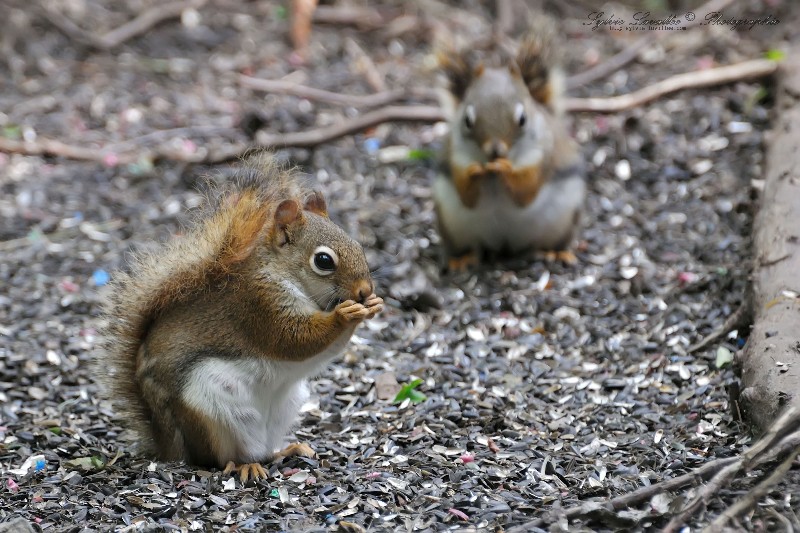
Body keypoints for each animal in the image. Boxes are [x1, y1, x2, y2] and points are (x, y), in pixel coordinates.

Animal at [97, 155, 384, 482]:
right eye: (323, 260)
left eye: (358, 246)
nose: (364, 290)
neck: (280, 272)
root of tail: (169, 444)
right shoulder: (259, 306)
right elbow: (295, 339)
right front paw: (343, 314)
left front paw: (373, 304)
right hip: (211, 410)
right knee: (218, 458)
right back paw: (242, 465)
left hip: (286, 404)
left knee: (264, 449)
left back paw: (286, 450)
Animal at [434, 20, 584, 270]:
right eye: (467, 120)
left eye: (522, 119)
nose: (495, 150)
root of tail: (505, 245)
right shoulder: (457, 158)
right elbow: (466, 195)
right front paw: (475, 172)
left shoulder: (541, 158)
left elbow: (525, 190)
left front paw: (504, 169)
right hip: (453, 226)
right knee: (472, 247)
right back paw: (462, 259)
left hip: (562, 222)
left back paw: (555, 253)